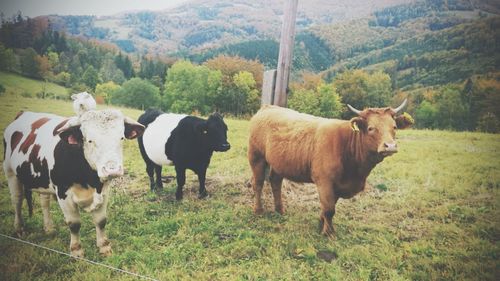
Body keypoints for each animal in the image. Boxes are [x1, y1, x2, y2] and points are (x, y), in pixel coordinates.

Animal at [3, 109, 145, 256]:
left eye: (121, 138)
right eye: (89, 140)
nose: (113, 170)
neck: (90, 180)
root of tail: (23, 113)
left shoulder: (104, 192)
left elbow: (101, 221)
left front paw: (104, 247)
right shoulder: (63, 193)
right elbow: (74, 224)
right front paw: (77, 251)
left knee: (44, 202)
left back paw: (49, 228)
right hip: (10, 173)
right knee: (17, 200)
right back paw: (19, 228)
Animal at [247, 99, 414, 235]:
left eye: (394, 127)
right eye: (371, 128)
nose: (390, 146)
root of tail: (268, 107)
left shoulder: (340, 185)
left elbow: (330, 207)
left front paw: (321, 224)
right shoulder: (324, 181)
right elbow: (329, 209)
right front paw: (328, 233)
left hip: (279, 163)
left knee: (275, 182)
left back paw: (280, 210)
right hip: (256, 156)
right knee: (258, 183)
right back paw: (258, 210)